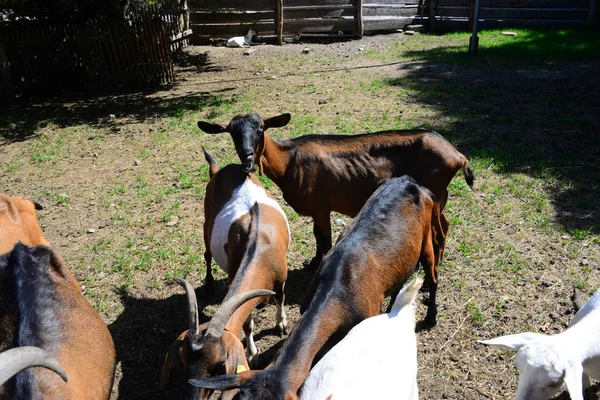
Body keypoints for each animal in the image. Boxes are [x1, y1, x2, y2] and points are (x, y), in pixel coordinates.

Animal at [158, 148, 290, 398]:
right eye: (183, 364)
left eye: (219, 366)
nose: (194, 397)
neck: (260, 244)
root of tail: (220, 169)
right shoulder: (234, 274)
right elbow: (247, 324)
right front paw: (253, 353)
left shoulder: (281, 278)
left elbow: (280, 298)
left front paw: (281, 325)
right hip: (206, 221)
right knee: (207, 253)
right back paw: (209, 286)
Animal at [197, 111, 474, 272]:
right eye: (231, 132)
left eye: (260, 128)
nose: (247, 158)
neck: (289, 161)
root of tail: (458, 155)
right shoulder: (316, 209)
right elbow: (317, 237)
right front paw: (313, 262)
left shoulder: (321, 207)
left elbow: (325, 239)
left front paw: (319, 265)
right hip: (441, 196)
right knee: (445, 225)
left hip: (433, 194)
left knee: (438, 231)